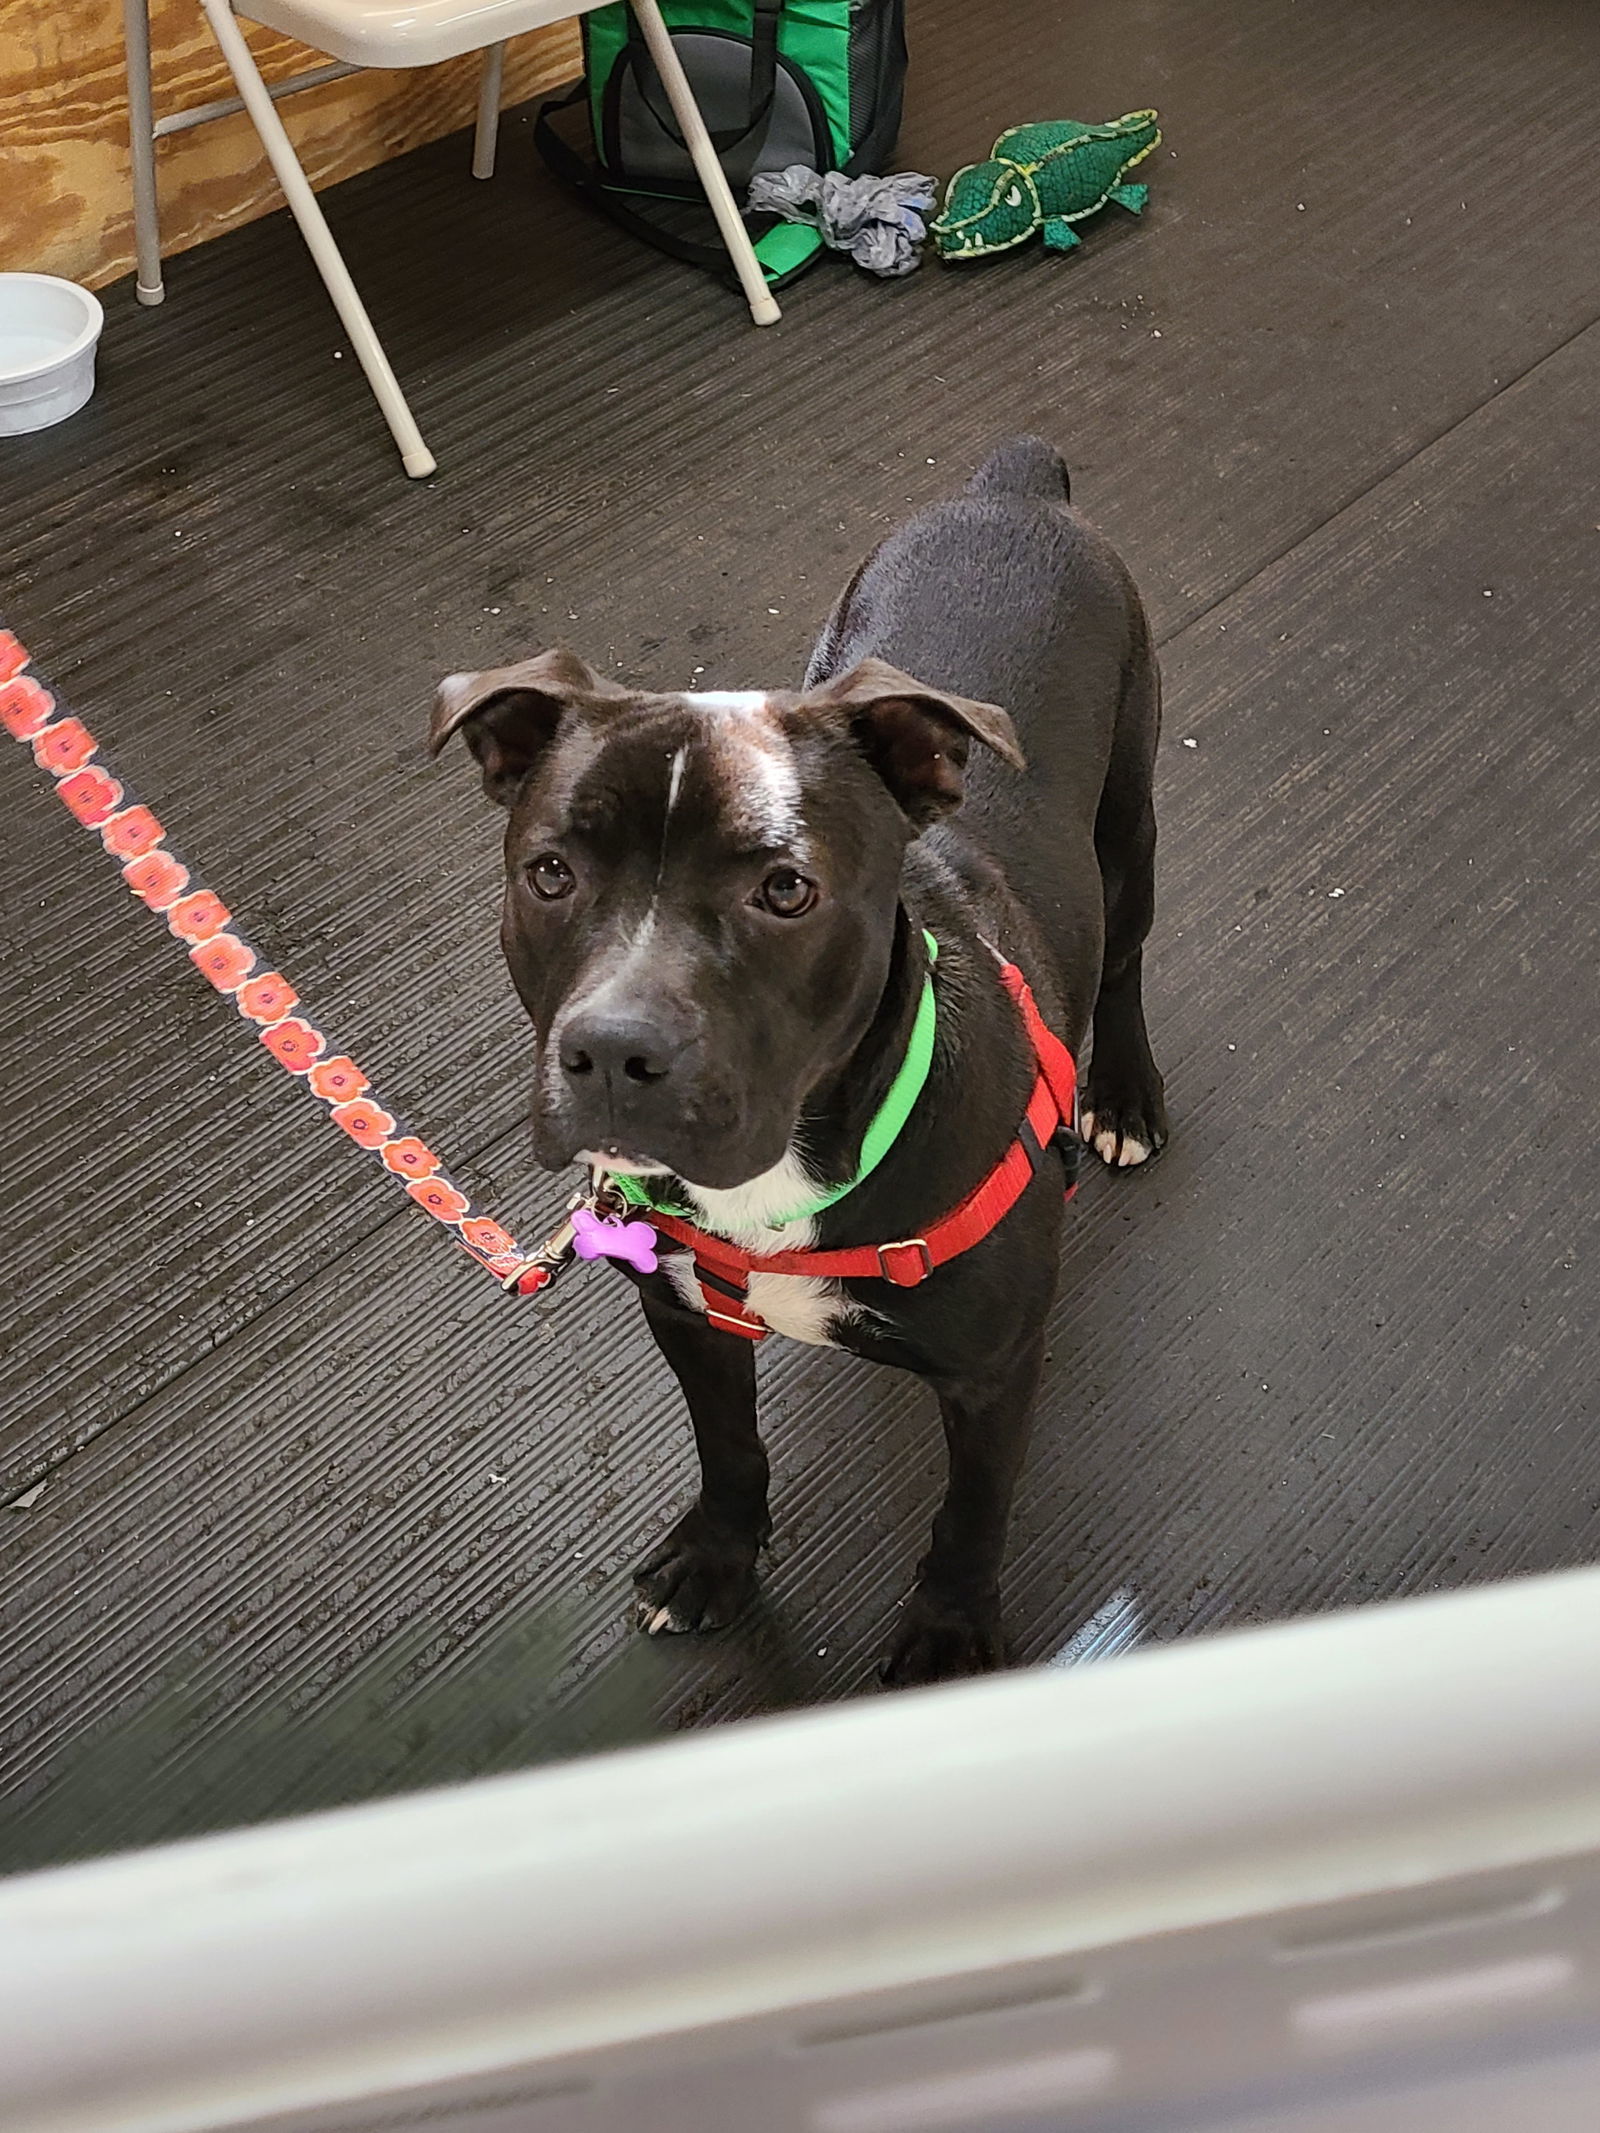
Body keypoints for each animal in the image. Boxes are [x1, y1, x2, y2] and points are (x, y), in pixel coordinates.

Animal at [433, 441, 1169, 1680]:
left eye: (785, 890)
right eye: (549, 873)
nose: (613, 1051)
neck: (794, 1166)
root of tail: (1012, 487)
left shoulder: (991, 1375)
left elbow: (971, 1514)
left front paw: (950, 1632)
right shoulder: (687, 1320)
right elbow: (728, 1448)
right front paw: (717, 1558)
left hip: (1128, 829)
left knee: (1120, 966)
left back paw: (1122, 1095)